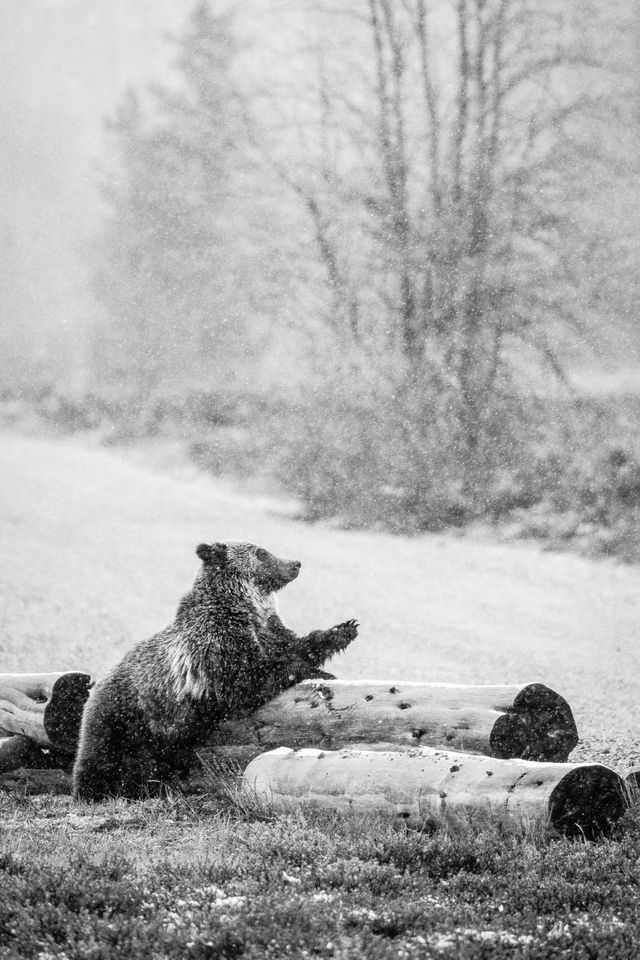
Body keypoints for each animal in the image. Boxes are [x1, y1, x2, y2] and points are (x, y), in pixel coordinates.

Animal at [74, 540, 360, 804]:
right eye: (261, 552)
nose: (296, 563)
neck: (246, 607)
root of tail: (97, 685)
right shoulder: (218, 644)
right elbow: (248, 679)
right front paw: (318, 672)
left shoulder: (269, 629)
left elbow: (298, 644)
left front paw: (343, 630)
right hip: (126, 718)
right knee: (102, 757)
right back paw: (95, 792)